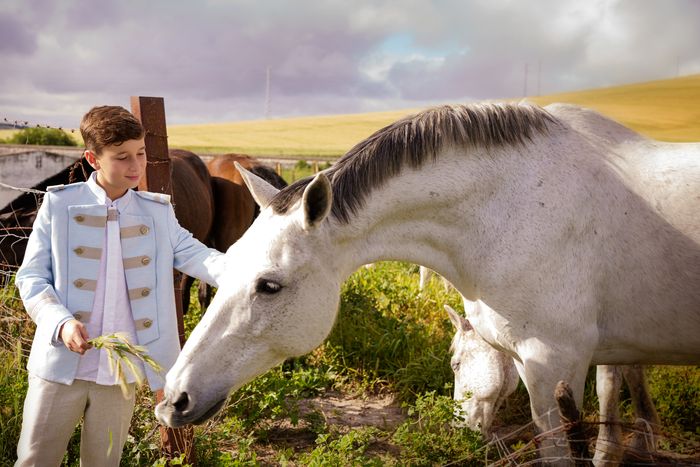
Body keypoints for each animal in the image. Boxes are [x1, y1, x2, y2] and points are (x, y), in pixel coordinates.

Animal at [446, 304, 660, 464]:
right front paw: (643, 440)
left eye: (455, 365)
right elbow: (631, 370)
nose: (459, 428)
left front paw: (612, 451)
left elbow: (610, 381)